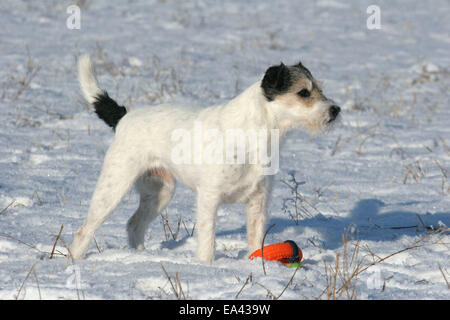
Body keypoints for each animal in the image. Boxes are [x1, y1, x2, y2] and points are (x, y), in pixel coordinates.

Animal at [70, 55, 340, 262]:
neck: (254, 133)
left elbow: (255, 241)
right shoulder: (209, 198)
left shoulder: (258, 201)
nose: (336, 110)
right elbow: (208, 241)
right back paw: (75, 261)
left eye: (320, 89)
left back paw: (140, 256)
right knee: (84, 231)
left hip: (160, 192)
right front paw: (206, 267)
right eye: (303, 92)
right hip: (113, 187)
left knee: (134, 224)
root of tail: (124, 118)